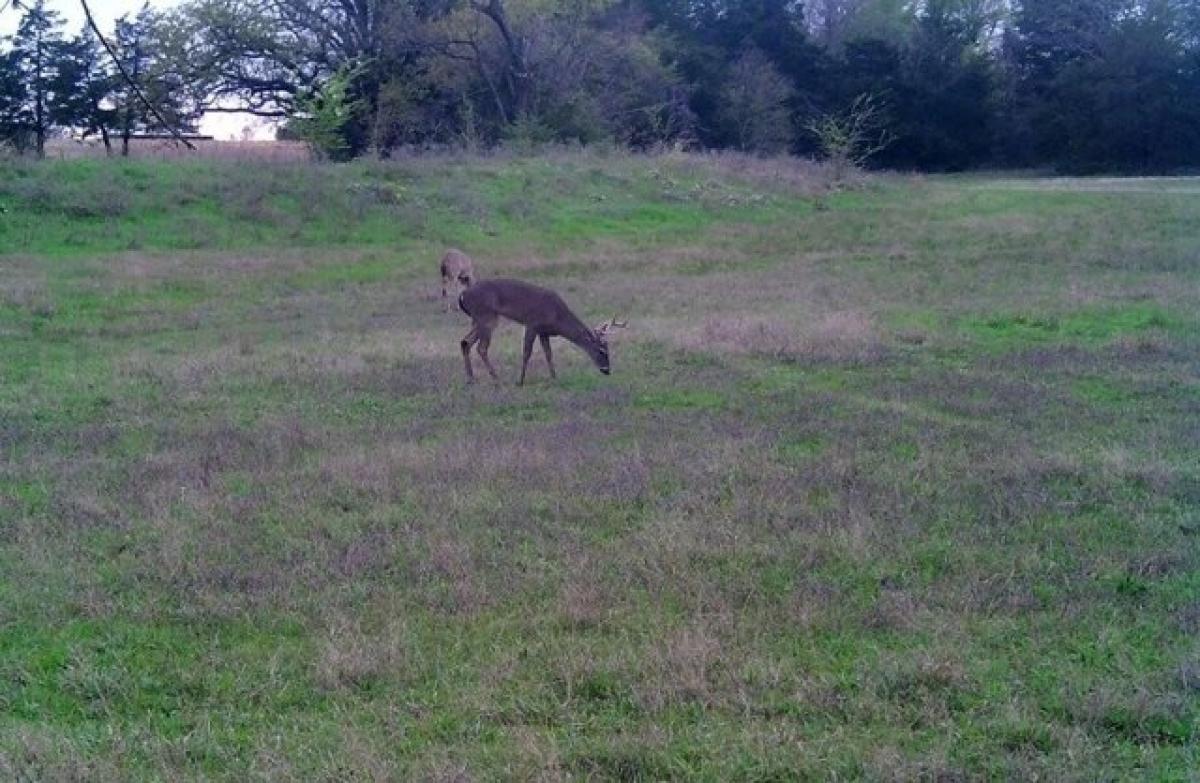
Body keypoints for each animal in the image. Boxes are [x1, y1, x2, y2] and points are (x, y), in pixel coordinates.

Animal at [456, 278, 628, 384]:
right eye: (601, 351)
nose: (607, 371)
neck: (558, 317)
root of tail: (463, 294)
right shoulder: (532, 324)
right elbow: (527, 353)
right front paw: (520, 381)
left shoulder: (543, 332)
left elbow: (548, 354)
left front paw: (554, 378)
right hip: (486, 316)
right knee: (481, 347)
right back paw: (496, 377)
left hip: (479, 319)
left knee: (465, 342)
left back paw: (471, 379)